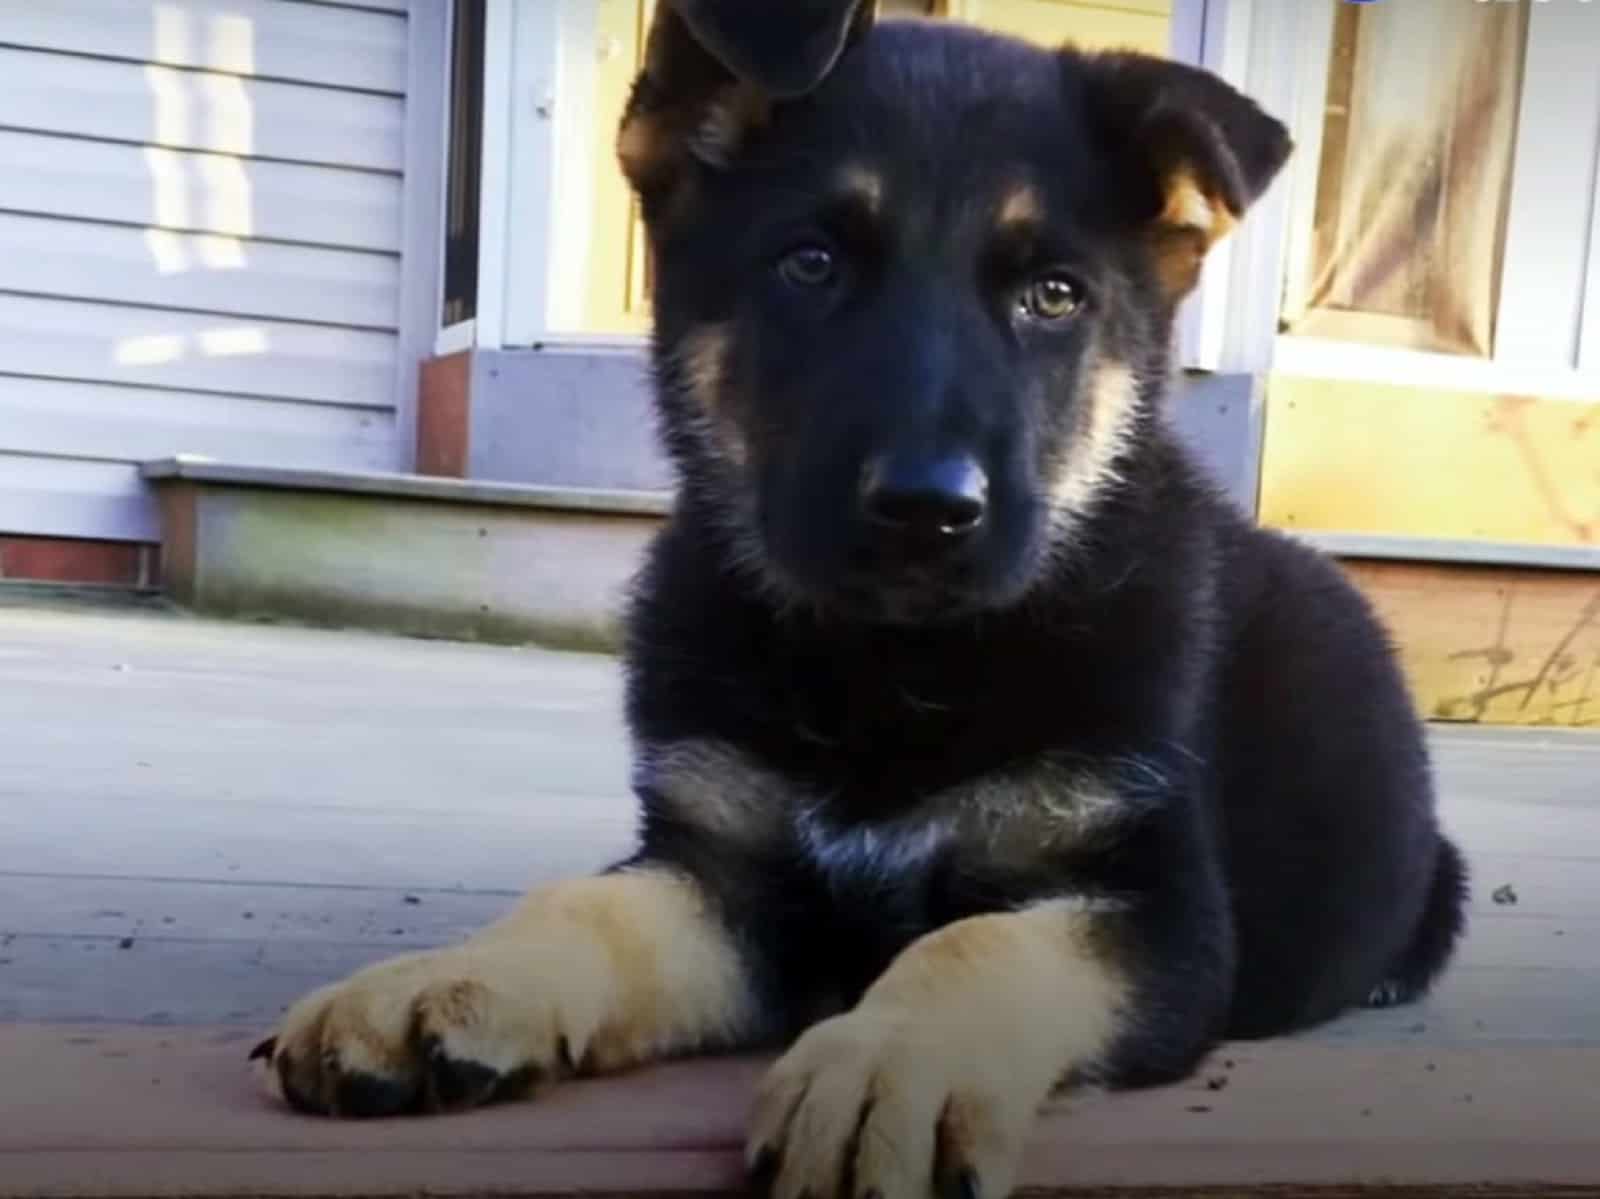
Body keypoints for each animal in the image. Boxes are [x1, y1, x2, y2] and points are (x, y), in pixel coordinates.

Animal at [256, 4, 1465, 1190]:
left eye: (1054, 295)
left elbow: (978, 943)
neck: (892, 663)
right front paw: (445, 978)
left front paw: (890, 1061)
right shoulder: (726, 874)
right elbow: (585, 903)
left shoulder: (1155, 911)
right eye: (811, 263)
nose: (927, 510)